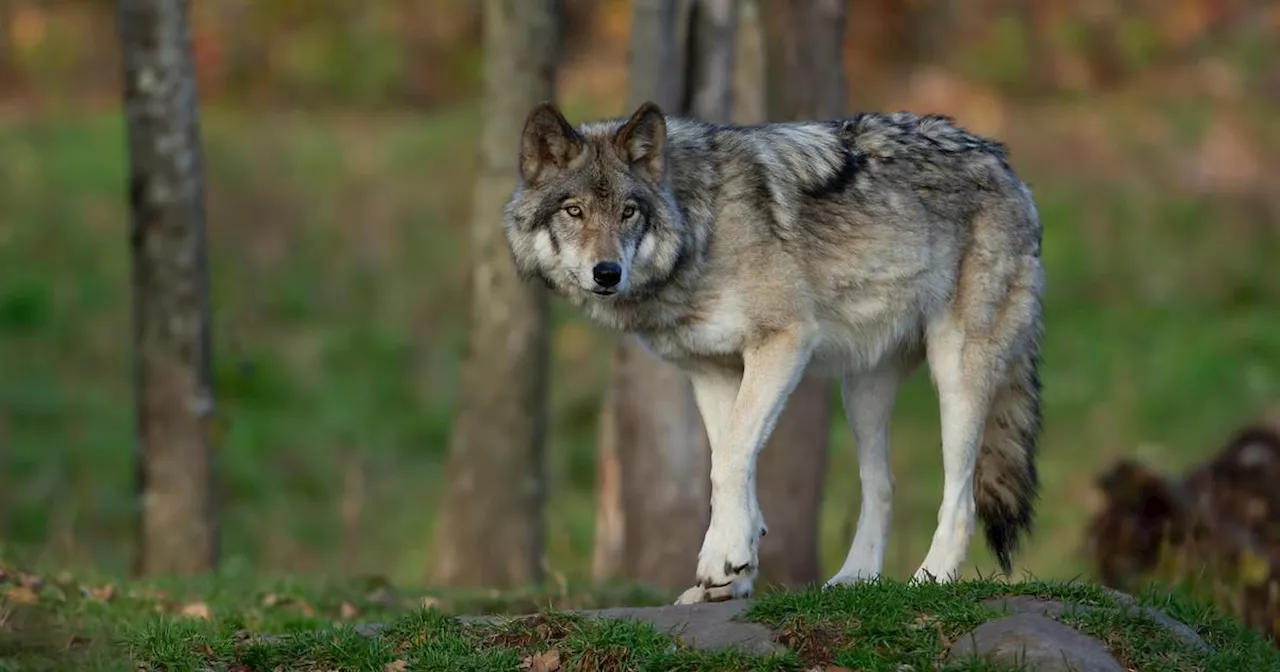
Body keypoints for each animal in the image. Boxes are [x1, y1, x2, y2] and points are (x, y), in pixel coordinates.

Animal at [499, 98, 1039, 601]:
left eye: (628, 212)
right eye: (574, 211)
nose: (607, 273)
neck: (701, 229)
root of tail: (1006, 165)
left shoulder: (784, 342)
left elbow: (730, 458)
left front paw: (722, 557)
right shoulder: (712, 371)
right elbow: (732, 462)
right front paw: (733, 570)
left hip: (955, 377)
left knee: (961, 497)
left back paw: (932, 578)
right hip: (862, 394)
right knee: (882, 486)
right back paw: (854, 579)